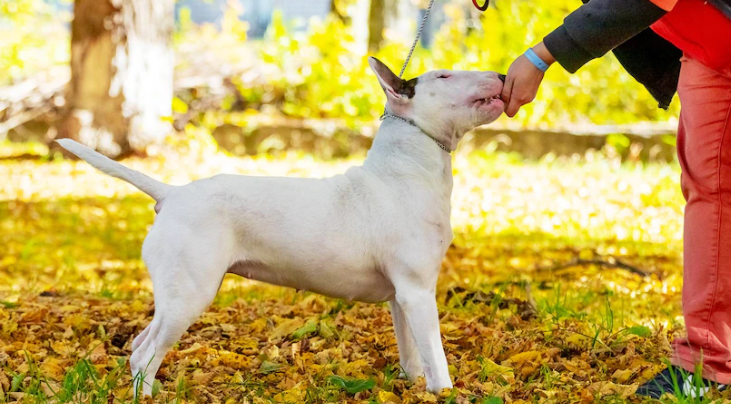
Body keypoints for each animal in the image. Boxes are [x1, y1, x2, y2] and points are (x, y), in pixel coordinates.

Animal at [57, 56, 506, 394]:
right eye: (443, 76)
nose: (503, 76)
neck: (403, 173)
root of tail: (172, 194)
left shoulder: (403, 296)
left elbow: (414, 353)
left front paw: (413, 386)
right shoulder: (417, 291)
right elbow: (437, 357)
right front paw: (445, 393)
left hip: (174, 292)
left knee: (139, 344)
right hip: (190, 292)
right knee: (144, 353)